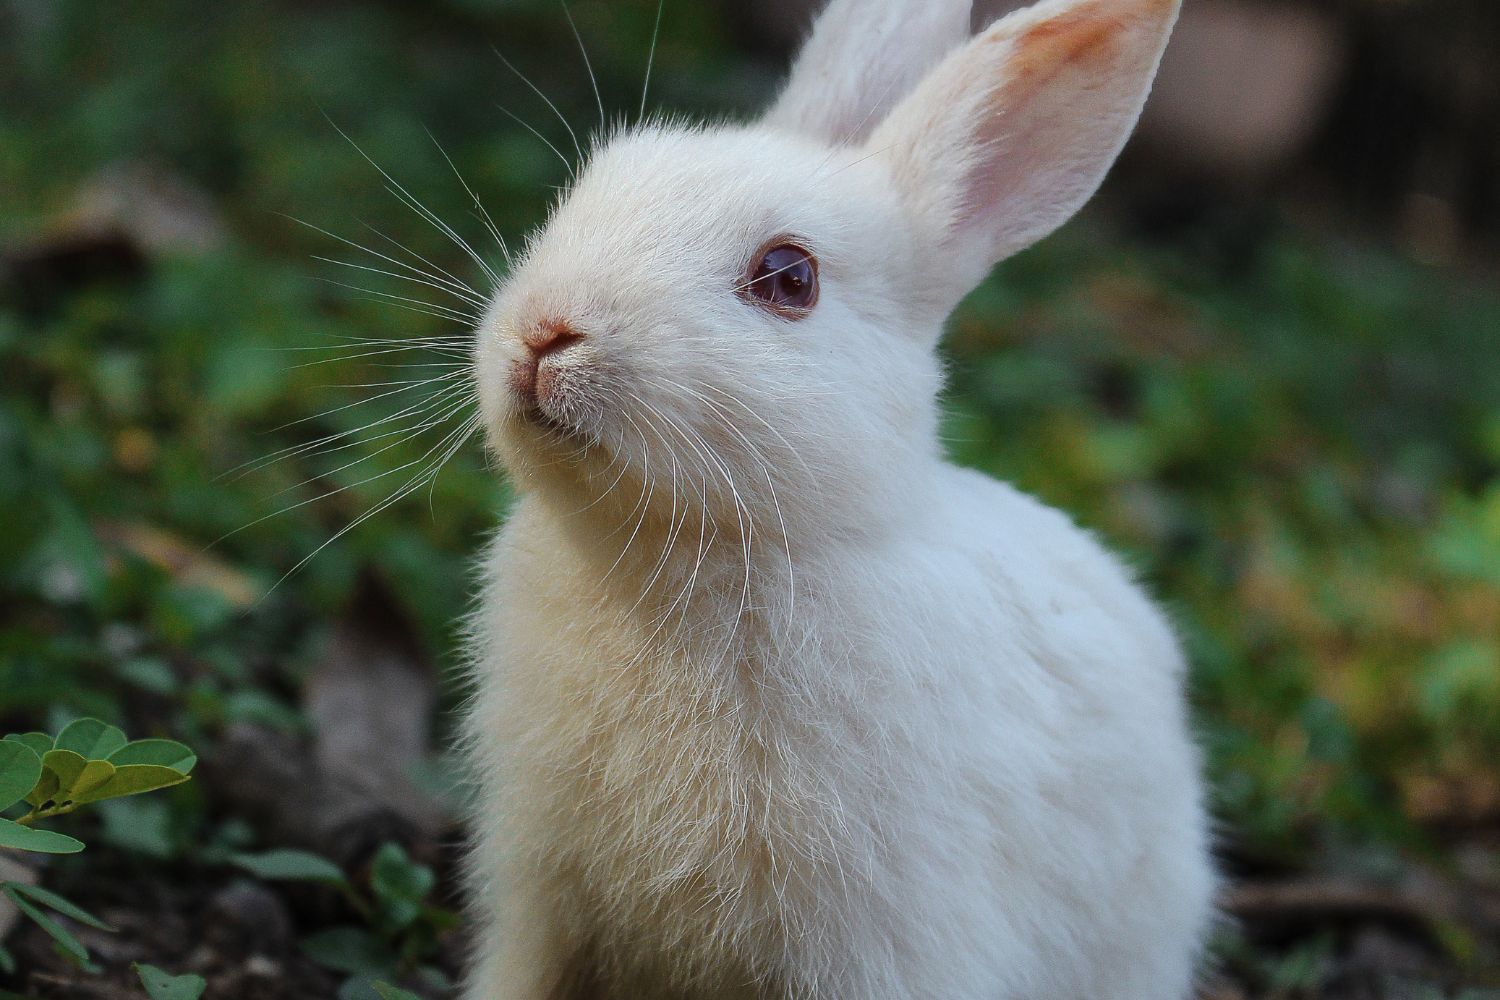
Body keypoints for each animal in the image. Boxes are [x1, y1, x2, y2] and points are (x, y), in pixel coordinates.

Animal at [462, 0, 1212, 995]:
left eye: (790, 279)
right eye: (587, 191)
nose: (545, 333)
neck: (679, 544)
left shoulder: (879, 942)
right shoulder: (542, 902)